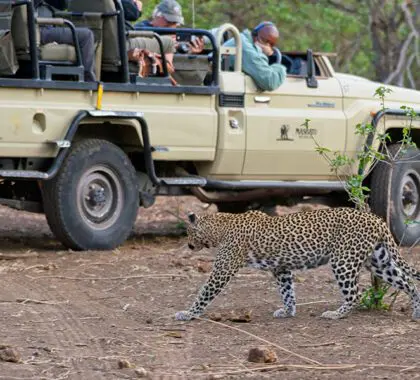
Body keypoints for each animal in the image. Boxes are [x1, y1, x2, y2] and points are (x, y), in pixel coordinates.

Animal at [175, 208, 420, 320]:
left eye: (187, 232)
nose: (188, 245)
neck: (219, 226)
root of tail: (377, 219)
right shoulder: (281, 269)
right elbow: (287, 291)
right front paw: (288, 311)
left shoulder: (224, 268)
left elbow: (205, 292)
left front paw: (188, 313)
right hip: (379, 261)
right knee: (409, 282)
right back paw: (417, 312)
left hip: (344, 261)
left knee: (355, 294)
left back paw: (336, 314)